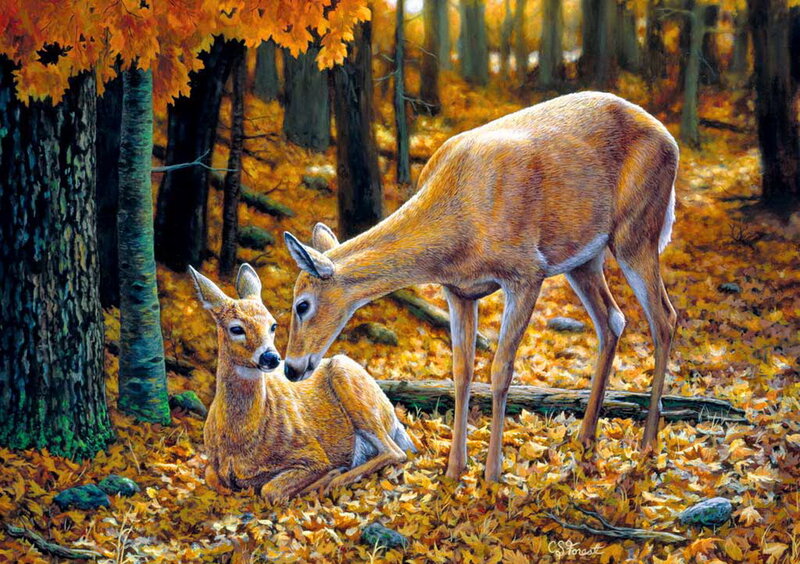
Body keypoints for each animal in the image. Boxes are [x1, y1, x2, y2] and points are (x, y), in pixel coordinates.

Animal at [188, 263, 416, 502]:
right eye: (236, 328)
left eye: (272, 325)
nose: (271, 357)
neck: (239, 442)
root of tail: (393, 418)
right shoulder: (214, 466)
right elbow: (212, 478)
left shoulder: (313, 453)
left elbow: (270, 490)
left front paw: (330, 474)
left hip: (348, 378)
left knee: (396, 452)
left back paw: (337, 476)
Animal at [281, 92, 679, 483]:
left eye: (302, 304)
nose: (291, 368)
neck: (457, 228)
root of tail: (670, 141)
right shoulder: (458, 291)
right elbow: (462, 370)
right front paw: (454, 470)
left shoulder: (527, 271)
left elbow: (501, 369)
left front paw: (492, 474)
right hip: (584, 257)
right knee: (612, 320)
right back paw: (585, 441)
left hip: (637, 229)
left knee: (664, 318)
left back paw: (647, 446)